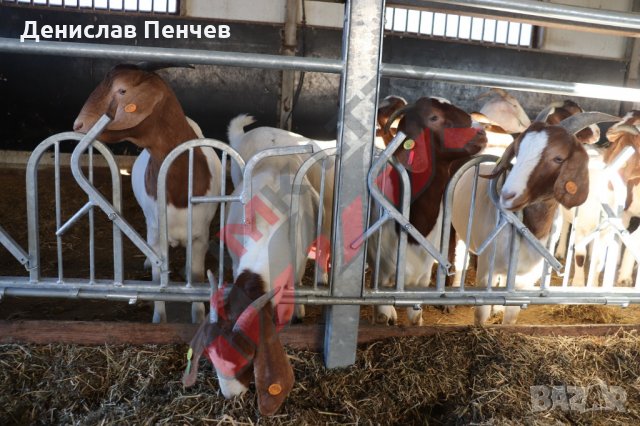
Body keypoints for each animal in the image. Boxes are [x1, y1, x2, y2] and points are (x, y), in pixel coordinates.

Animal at [73, 64, 220, 322]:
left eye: (122, 90)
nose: (77, 125)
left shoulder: (200, 235)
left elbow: (197, 277)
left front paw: (199, 316)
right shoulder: (156, 234)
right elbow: (157, 281)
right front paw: (159, 319)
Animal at [368, 96, 488, 324]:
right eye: (434, 117)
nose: (482, 133)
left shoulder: (421, 277)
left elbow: (416, 319)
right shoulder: (382, 272)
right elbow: (383, 314)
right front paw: (389, 316)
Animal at [450, 111, 616, 324]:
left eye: (558, 158)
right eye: (518, 152)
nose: (507, 195)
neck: (531, 231)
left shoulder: (525, 281)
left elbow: (510, 317)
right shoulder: (486, 270)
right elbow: (480, 315)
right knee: (460, 258)